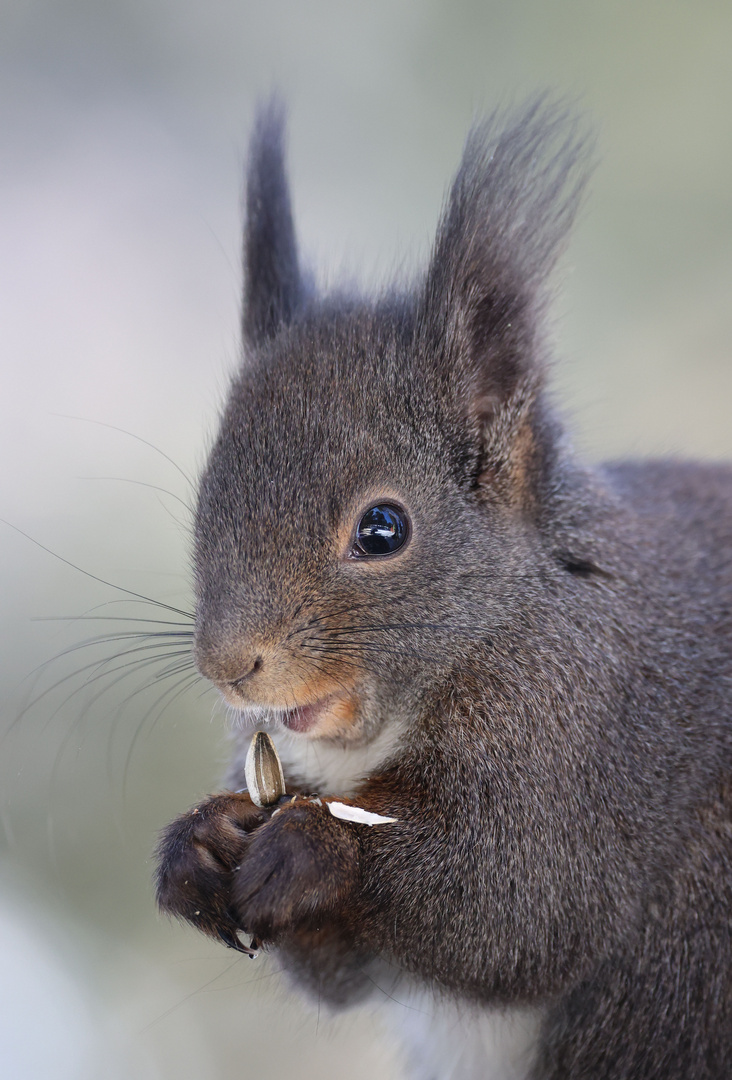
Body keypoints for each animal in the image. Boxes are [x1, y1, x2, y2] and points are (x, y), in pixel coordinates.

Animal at [153, 97, 732, 1075]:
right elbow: (341, 974)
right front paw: (194, 845)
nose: (230, 666)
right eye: (206, 500)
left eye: (383, 530)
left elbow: (516, 909)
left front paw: (315, 846)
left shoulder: (598, 748)